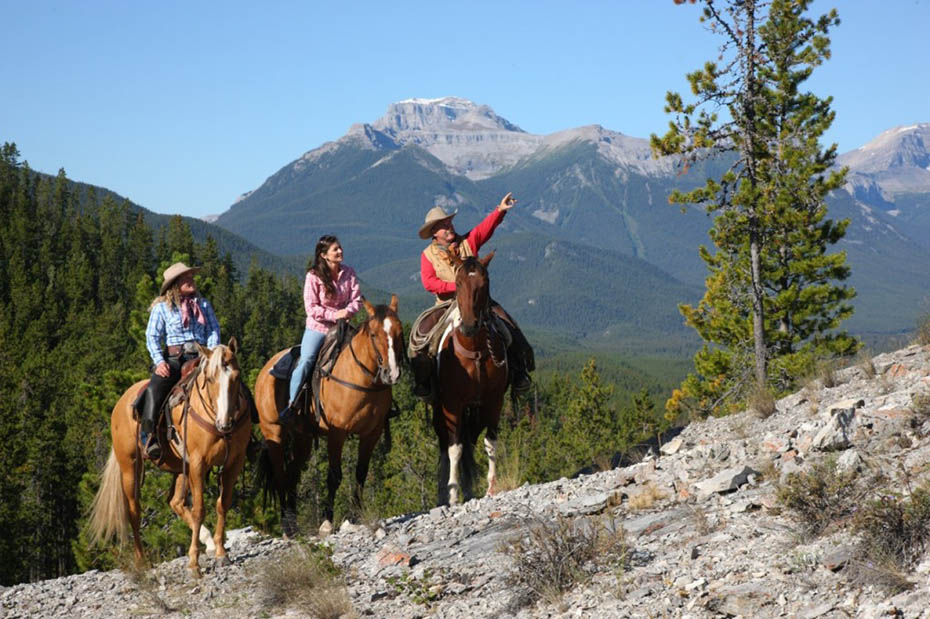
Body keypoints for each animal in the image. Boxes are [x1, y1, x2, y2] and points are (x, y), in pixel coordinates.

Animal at [87, 340, 250, 576]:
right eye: (210, 379)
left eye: (236, 377)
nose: (224, 423)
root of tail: (121, 402)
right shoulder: (198, 463)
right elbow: (199, 510)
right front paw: (194, 564)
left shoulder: (233, 463)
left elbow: (222, 504)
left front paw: (221, 553)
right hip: (130, 466)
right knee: (134, 511)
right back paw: (141, 561)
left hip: (180, 469)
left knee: (175, 502)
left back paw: (209, 543)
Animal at [254, 296, 402, 536]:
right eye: (373, 334)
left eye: (399, 332)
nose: (392, 373)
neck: (360, 378)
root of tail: (265, 370)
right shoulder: (336, 434)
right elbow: (334, 476)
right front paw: (327, 521)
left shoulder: (372, 433)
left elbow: (360, 473)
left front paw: (355, 515)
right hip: (273, 432)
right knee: (280, 475)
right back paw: (286, 526)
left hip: (303, 439)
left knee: (292, 473)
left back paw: (293, 523)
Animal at [434, 254, 508, 506]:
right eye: (457, 284)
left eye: (484, 283)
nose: (468, 325)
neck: (475, 350)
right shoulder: (452, 404)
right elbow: (454, 448)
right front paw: (453, 494)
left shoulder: (494, 401)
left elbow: (491, 443)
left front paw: (491, 487)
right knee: (445, 444)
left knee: (472, 440)